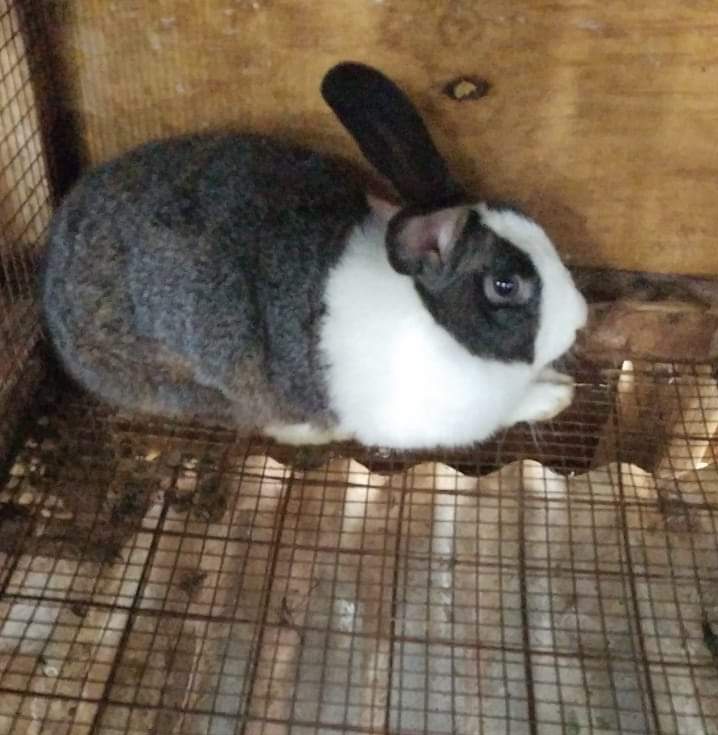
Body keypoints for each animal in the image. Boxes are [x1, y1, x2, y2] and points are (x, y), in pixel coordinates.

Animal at [42, 61, 588, 450]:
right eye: (504, 286)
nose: (581, 319)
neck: (439, 326)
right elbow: (512, 409)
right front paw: (557, 395)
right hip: (199, 381)